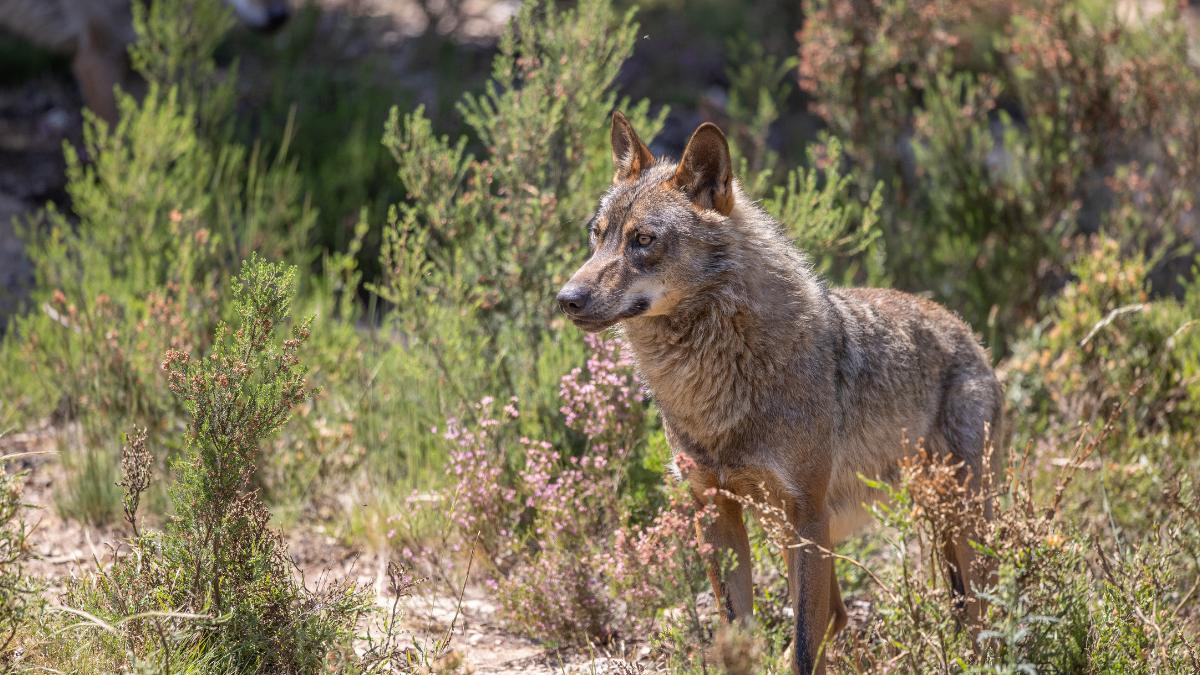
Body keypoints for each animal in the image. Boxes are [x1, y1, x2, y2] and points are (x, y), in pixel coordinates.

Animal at [557, 112, 1004, 674]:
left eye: (642, 240)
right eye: (597, 237)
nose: (566, 299)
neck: (715, 388)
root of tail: (970, 334)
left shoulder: (806, 512)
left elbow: (806, 646)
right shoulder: (715, 511)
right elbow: (738, 636)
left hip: (956, 525)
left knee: (982, 615)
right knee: (840, 614)